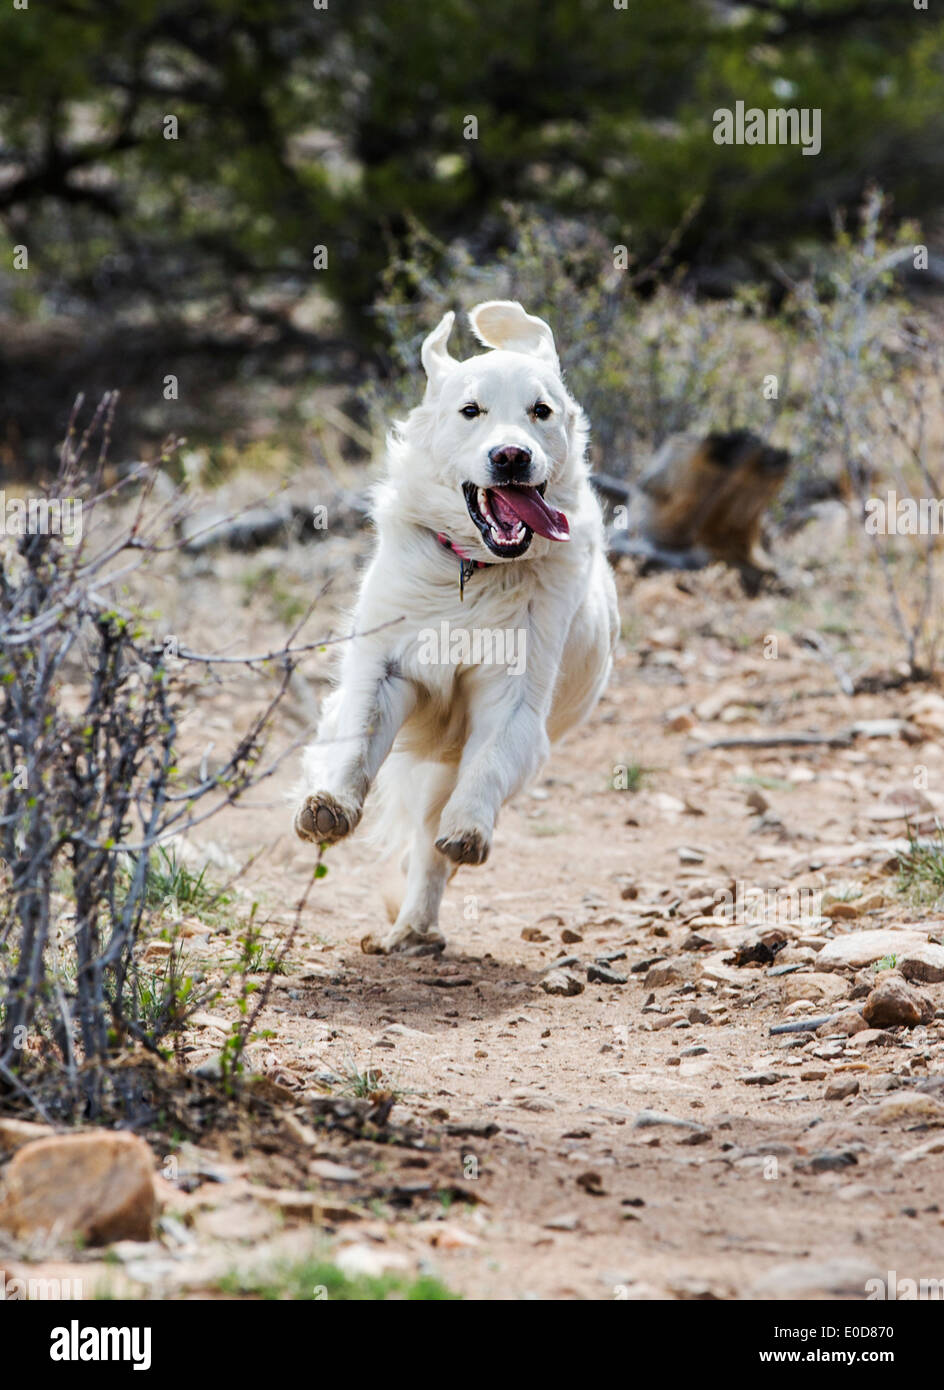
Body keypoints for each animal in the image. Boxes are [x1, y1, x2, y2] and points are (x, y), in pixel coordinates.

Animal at [294, 301, 620, 956]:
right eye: (472, 411)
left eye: (541, 411)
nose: (512, 456)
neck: (474, 570)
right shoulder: (385, 669)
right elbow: (355, 738)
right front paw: (330, 804)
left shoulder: (515, 698)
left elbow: (487, 766)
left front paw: (468, 829)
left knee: (427, 847)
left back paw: (415, 927)